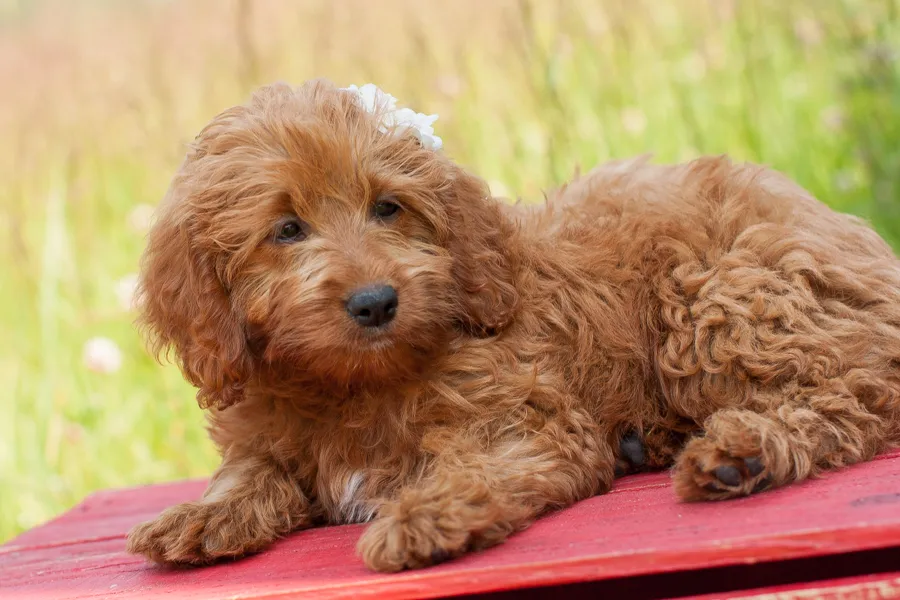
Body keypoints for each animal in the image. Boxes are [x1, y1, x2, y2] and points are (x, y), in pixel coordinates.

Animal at [126, 79, 900, 572]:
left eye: (388, 207)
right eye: (286, 229)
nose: (376, 302)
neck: (354, 382)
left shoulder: (523, 416)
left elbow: (481, 465)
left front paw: (425, 517)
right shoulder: (264, 427)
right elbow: (249, 471)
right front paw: (199, 516)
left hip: (721, 295)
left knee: (857, 393)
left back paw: (742, 451)